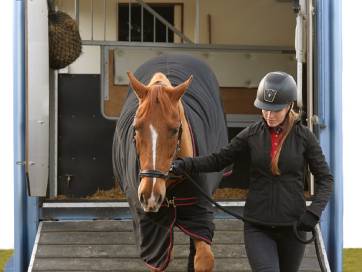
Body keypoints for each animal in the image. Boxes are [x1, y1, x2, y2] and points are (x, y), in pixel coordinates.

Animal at [111, 54, 228, 270]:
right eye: (136, 128)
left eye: (174, 130)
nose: (150, 196)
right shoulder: (151, 229)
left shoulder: (199, 211)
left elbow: (204, 258)